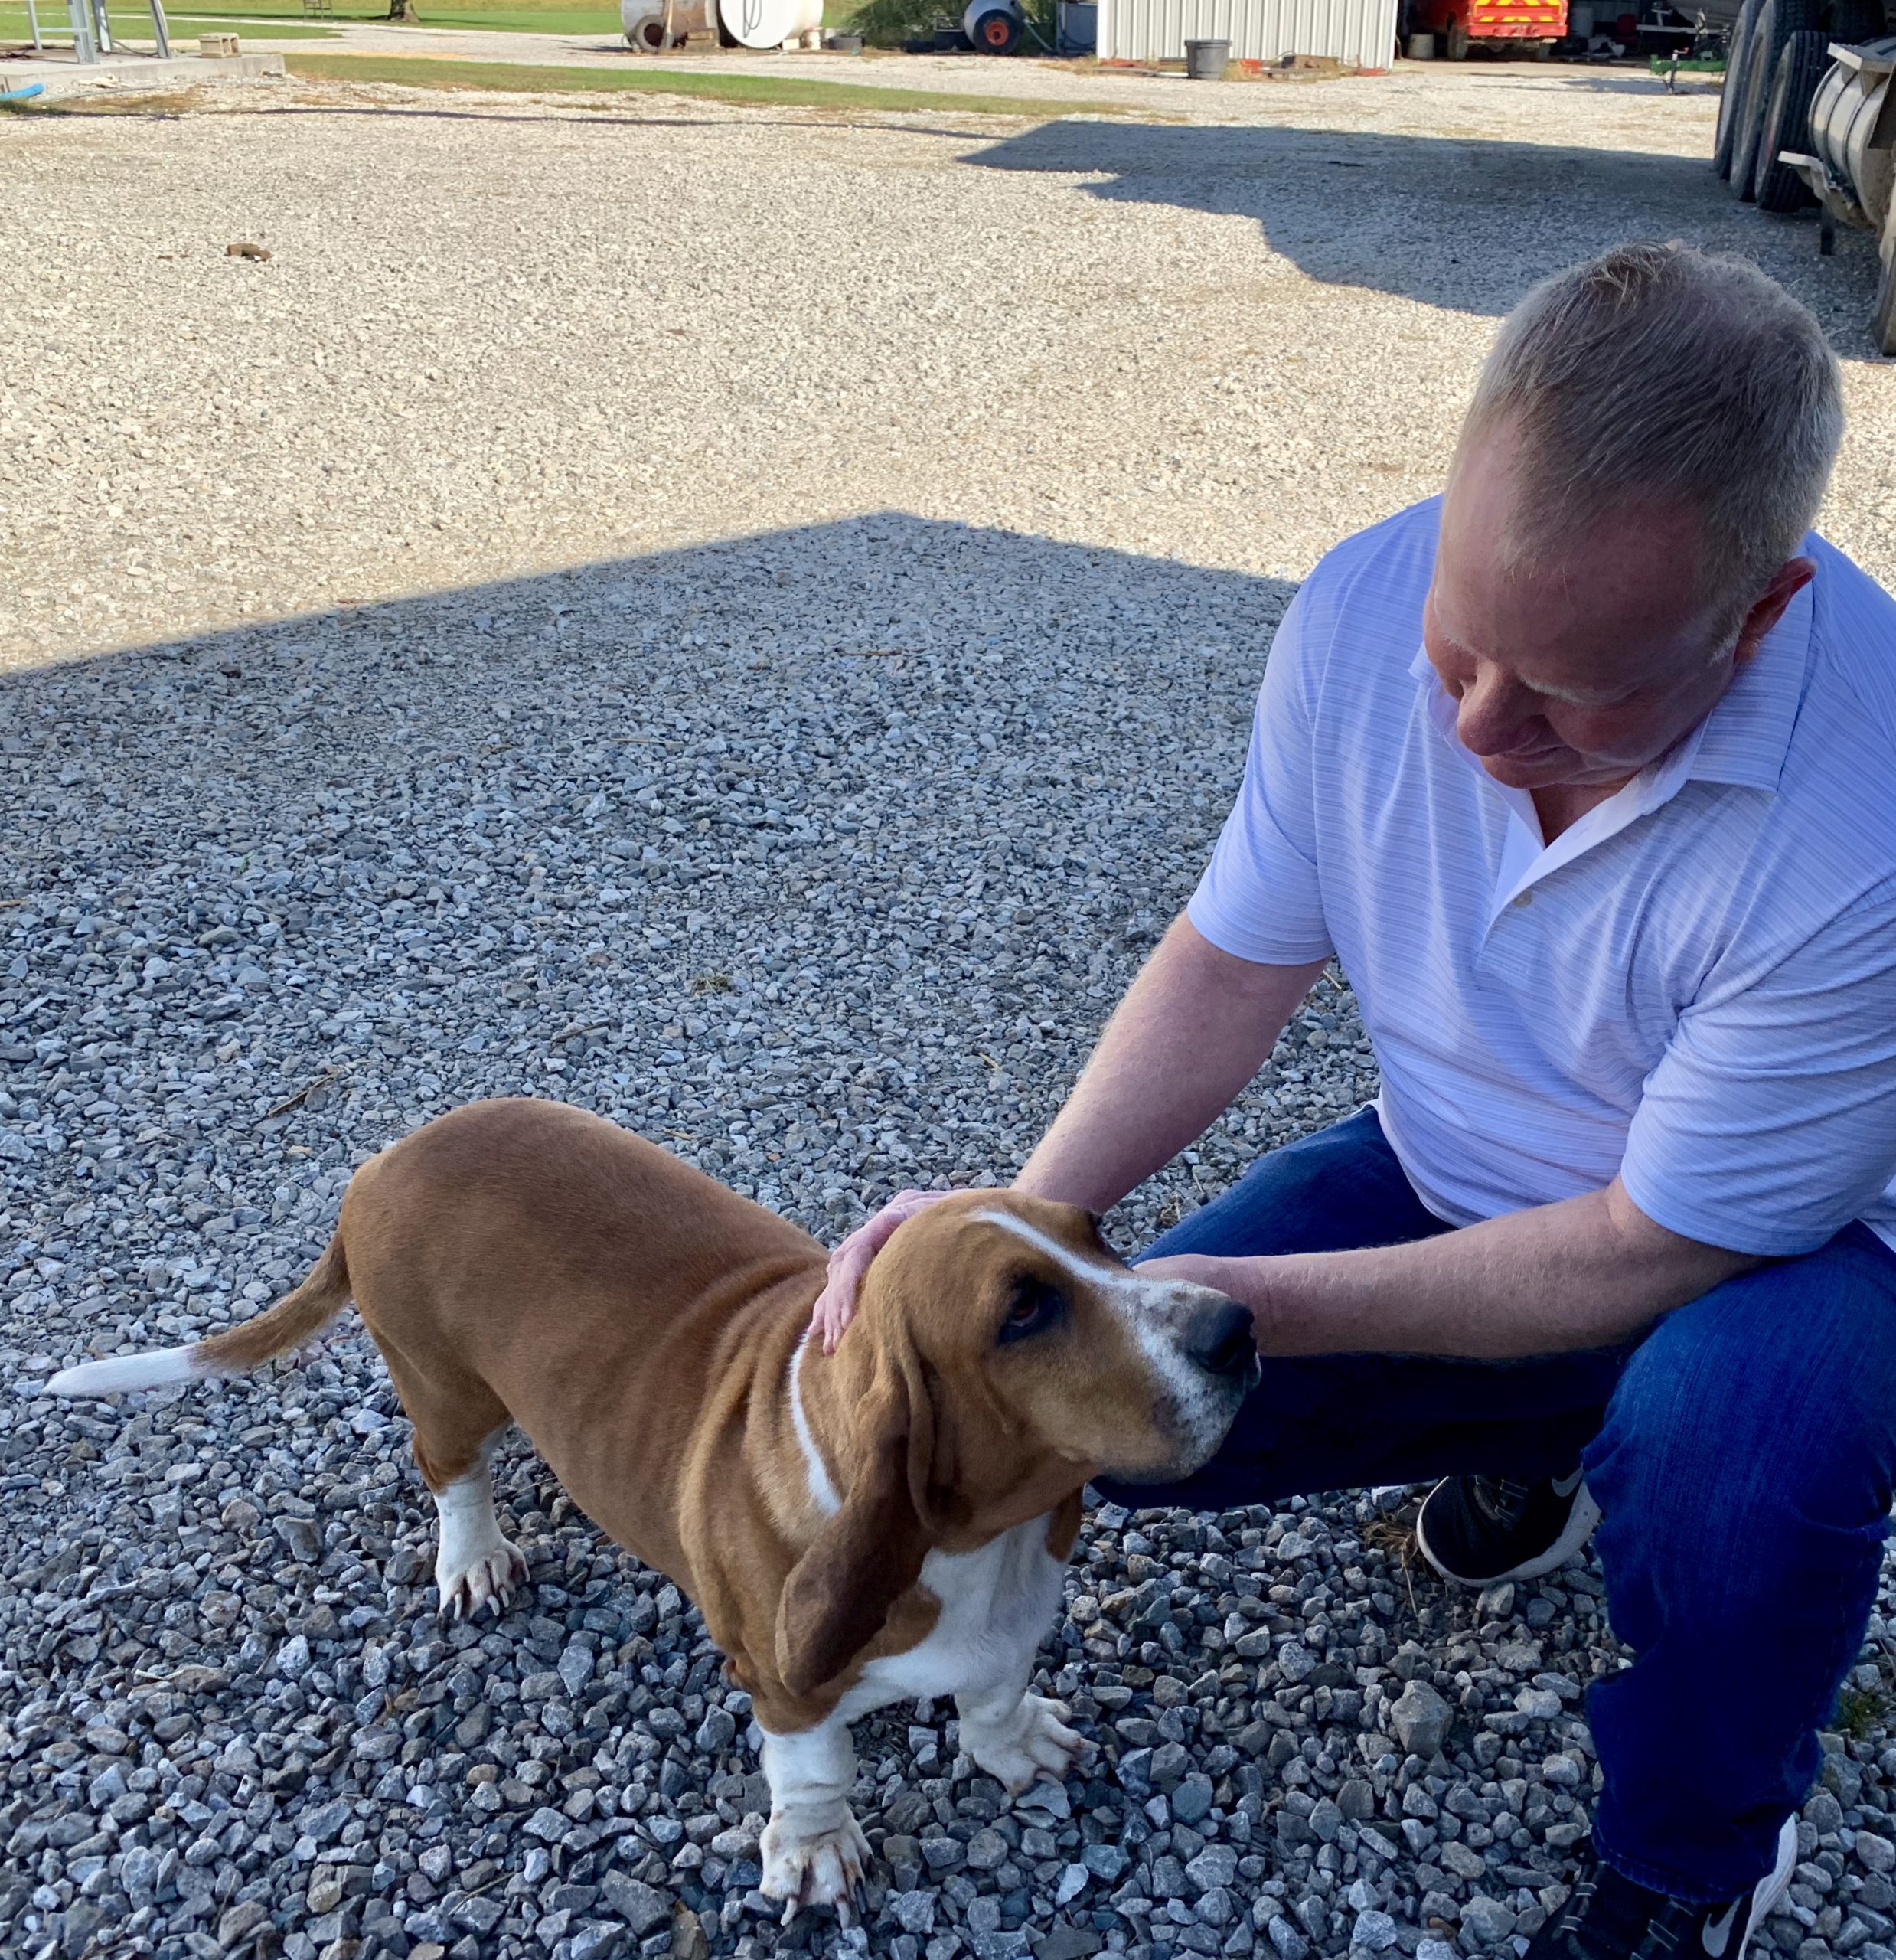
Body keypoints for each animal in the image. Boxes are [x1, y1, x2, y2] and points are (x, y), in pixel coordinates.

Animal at [48, 1105, 1261, 1913]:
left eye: (1096, 1231)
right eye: (1021, 1313)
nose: (1237, 1327)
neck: (975, 1541)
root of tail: (380, 1164)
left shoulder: (1013, 1618)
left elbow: (997, 1692)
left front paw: (1012, 1746)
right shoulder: (785, 1685)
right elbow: (815, 1773)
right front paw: (813, 1854)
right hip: (441, 1386)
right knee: (449, 1468)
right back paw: (473, 1554)